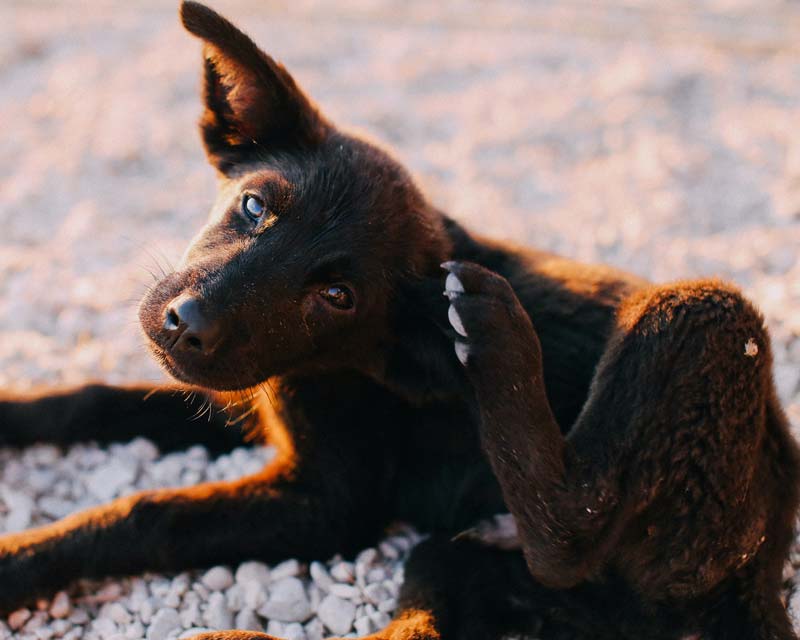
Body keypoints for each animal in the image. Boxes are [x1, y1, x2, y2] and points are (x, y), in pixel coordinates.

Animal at [1, 2, 800, 636]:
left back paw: (495, 337)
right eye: (254, 206)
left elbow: (151, 513)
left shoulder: (329, 503)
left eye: (338, 296)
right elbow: (95, 400)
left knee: (571, 532)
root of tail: (764, 555)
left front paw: (20, 562)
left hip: (704, 318)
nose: (184, 323)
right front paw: (14, 413)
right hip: (482, 567)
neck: (339, 364)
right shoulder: (246, 399)